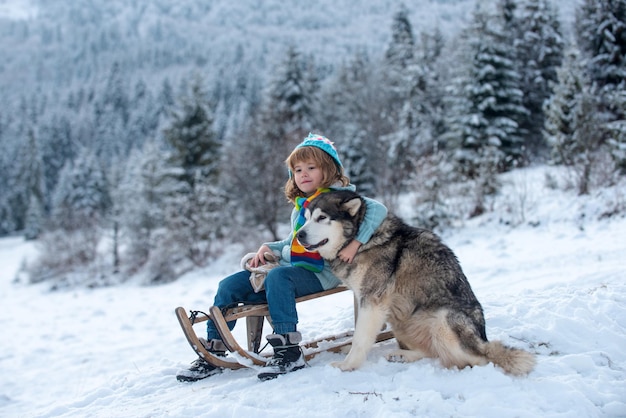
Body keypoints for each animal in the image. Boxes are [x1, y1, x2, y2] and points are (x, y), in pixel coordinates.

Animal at [294, 189, 532, 376]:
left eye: (322, 217)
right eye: (307, 218)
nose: (299, 235)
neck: (362, 240)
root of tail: (484, 340)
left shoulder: (372, 302)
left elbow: (360, 339)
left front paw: (347, 366)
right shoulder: (366, 300)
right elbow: (357, 335)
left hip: (444, 320)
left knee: (479, 359)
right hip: (401, 319)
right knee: (431, 352)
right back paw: (402, 355)